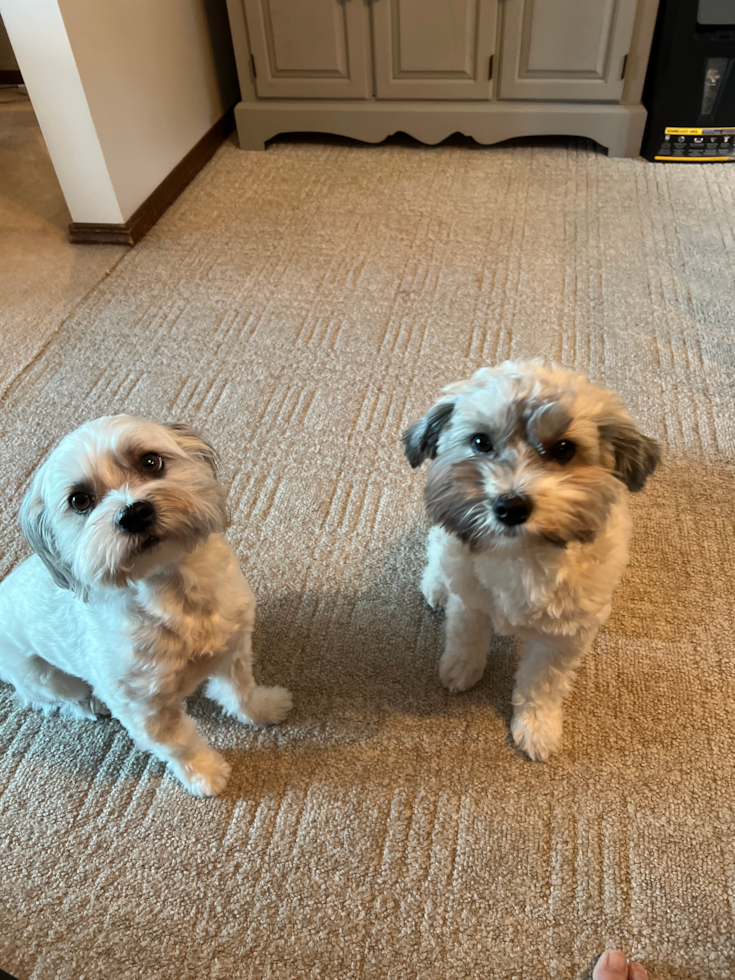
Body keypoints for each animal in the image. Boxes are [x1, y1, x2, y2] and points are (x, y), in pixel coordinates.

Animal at [0, 420, 294, 796]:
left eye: (151, 462)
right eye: (79, 500)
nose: (134, 513)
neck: (175, 594)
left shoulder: (233, 646)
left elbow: (240, 690)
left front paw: (263, 708)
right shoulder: (146, 712)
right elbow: (179, 745)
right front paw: (205, 775)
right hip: (40, 674)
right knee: (54, 697)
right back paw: (89, 703)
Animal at [406, 364, 664, 760]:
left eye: (564, 449)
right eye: (480, 442)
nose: (511, 506)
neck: (521, 554)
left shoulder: (566, 636)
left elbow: (542, 682)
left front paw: (536, 724)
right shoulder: (470, 601)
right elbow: (466, 637)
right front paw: (461, 668)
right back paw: (436, 585)